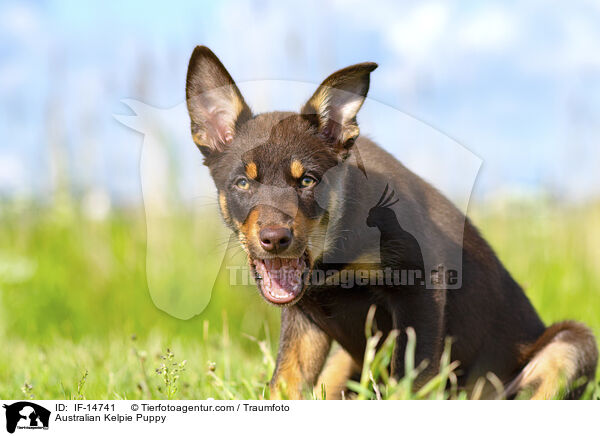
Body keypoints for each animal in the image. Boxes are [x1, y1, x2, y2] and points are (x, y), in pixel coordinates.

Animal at [185, 46, 596, 400]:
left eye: (307, 181)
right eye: (242, 183)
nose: (275, 239)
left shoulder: (420, 290)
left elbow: (409, 381)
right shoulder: (305, 316)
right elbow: (286, 380)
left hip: (571, 345)